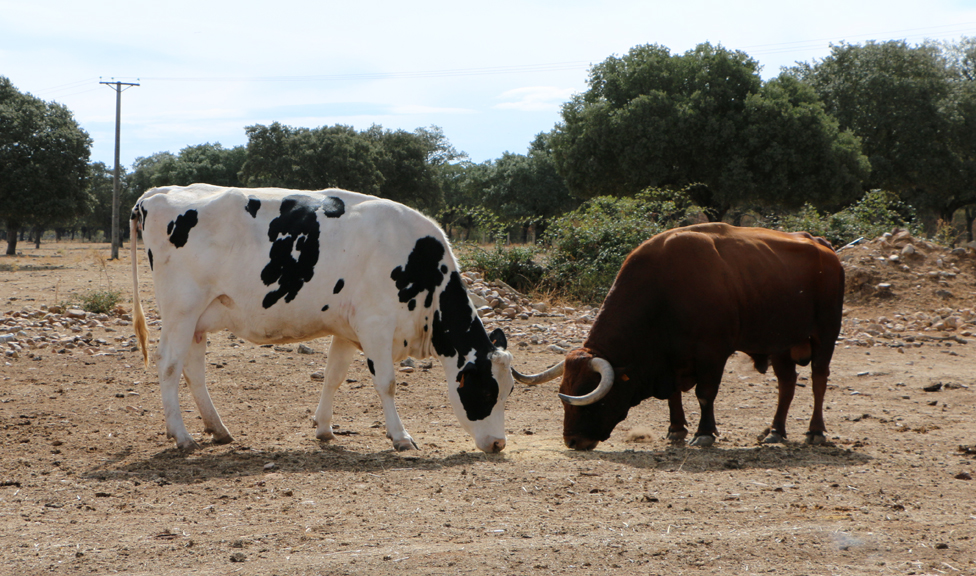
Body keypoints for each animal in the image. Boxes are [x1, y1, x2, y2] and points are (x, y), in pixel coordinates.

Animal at [130, 182, 520, 452]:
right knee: (169, 365)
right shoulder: (376, 325)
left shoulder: (347, 330)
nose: (499, 444)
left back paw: (219, 430)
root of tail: (158, 193)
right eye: (487, 390)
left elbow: (334, 376)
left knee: (193, 369)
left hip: (200, 318)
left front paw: (324, 428)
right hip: (181, 310)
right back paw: (182, 436)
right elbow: (387, 383)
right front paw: (400, 436)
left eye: (510, 390)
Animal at [516, 223, 844, 452]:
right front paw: (676, 429)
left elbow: (705, 394)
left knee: (818, 380)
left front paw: (704, 434)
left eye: (589, 398)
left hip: (825, 334)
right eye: (564, 395)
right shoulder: (668, 360)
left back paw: (816, 431)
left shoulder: (712, 354)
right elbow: (674, 395)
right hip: (780, 344)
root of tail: (822, 245)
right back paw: (775, 431)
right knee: (786, 385)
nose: (572, 441)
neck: (663, 293)